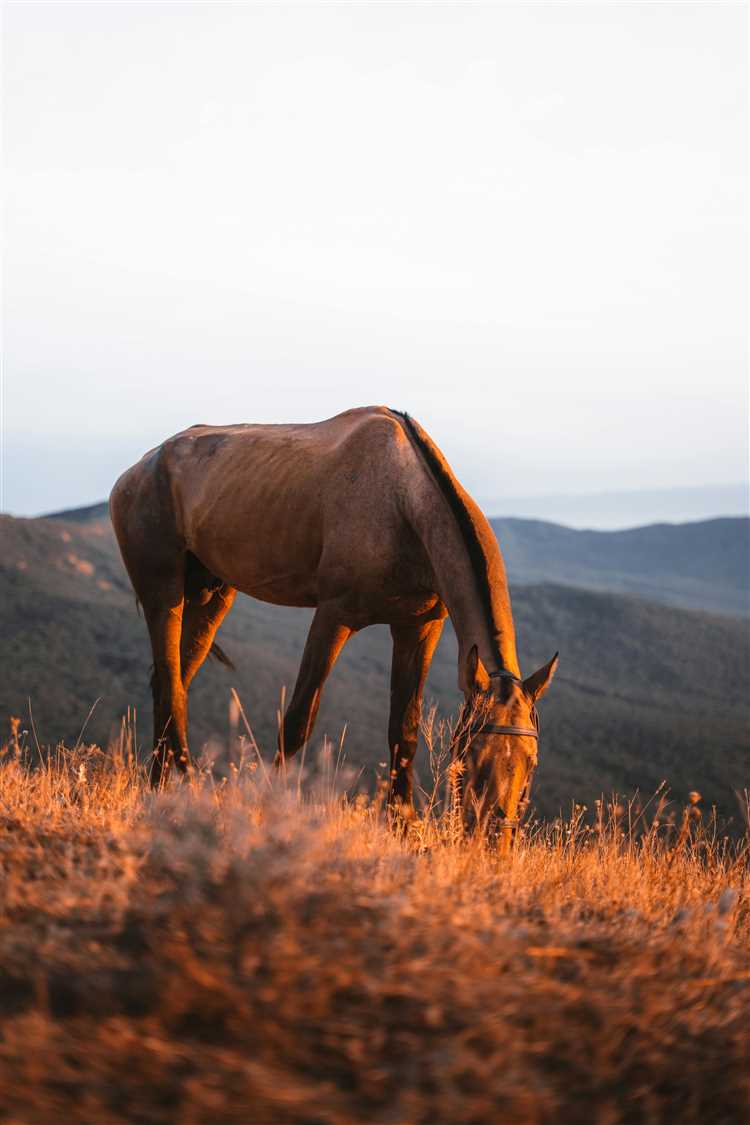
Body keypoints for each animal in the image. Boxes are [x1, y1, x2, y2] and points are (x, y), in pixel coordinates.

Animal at [110, 409, 557, 832]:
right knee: (171, 686)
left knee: (171, 682)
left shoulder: (419, 628)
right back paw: (184, 789)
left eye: (532, 762)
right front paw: (268, 809)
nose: (494, 838)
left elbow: (404, 729)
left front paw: (403, 824)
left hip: (211, 595)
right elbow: (297, 722)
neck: (404, 504)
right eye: (472, 754)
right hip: (163, 592)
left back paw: (159, 789)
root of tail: (137, 469)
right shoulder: (333, 617)